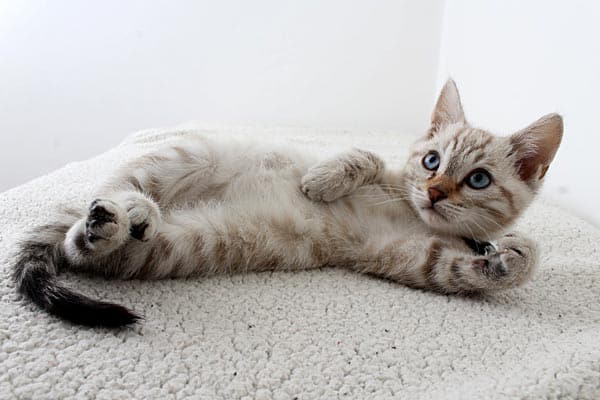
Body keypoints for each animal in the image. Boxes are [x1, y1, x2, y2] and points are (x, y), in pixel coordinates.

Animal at [10, 79, 564, 326]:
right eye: (431, 161)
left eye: (477, 179)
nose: (432, 193)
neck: (409, 213)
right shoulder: (389, 176)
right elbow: (364, 158)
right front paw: (322, 181)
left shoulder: (406, 257)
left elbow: (458, 267)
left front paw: (512, 256)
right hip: (183, 155)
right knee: (115, 187)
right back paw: (130, 207)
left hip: (173, 247)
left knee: (82, 245)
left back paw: (116, 225)